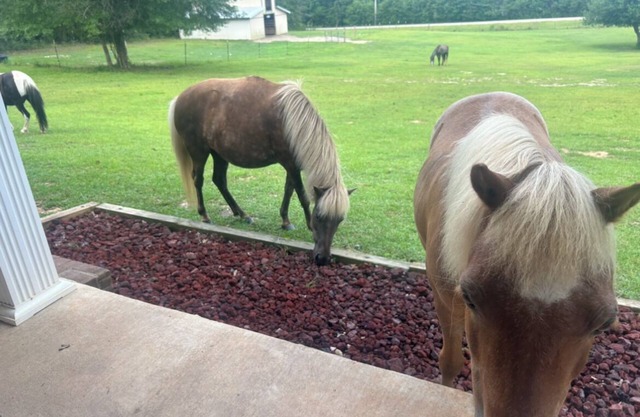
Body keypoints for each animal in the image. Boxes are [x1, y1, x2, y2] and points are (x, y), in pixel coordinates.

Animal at [169, 76, 352, 266]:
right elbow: (302, 196)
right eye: (319, 217)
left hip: (219, 153)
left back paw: (242, 214)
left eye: (340, 220)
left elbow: (289, 190)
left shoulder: (292, 166)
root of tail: (179, 98)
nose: (323, 258)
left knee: (219, 180)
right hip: (199, 152)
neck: (294, 124)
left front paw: (285, 221)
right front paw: (307, 224)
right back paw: (204, 215)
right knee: (198, 180)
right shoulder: (291, 165)